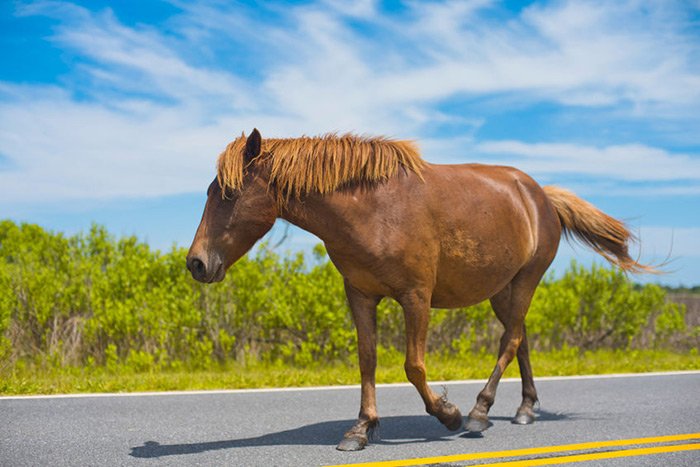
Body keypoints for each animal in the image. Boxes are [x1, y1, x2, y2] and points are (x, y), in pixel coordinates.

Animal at [186, 129, 652, 451]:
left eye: (229, 193)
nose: (196, 263)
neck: (372, 209)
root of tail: (541, 196)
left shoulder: (416, 297)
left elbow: (413, 366)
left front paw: (448, 414)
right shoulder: (360, 295)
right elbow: (368, 360)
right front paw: (361, 429)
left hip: (525, 280)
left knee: (510, 340)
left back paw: (479, 413)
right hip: (501, 290)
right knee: (520, 340)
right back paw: (523, 410)